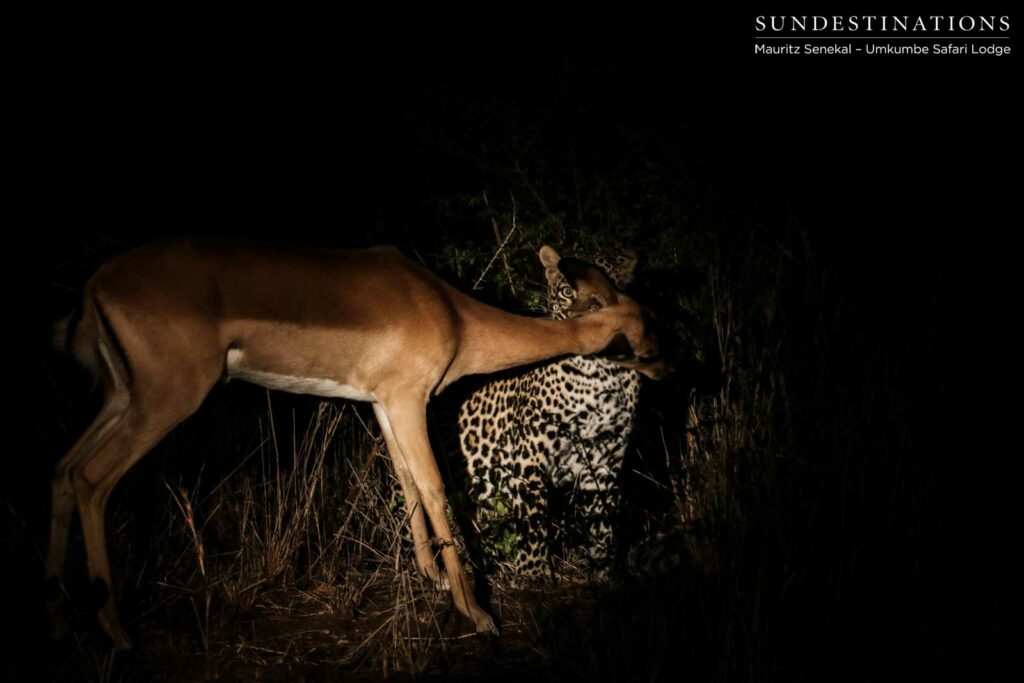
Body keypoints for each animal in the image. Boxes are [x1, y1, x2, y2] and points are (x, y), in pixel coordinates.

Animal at [46, 239, 668, 649]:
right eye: (641, 330)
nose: (667, 365)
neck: (451, 311)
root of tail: (96, 286)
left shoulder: (383, 404)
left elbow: (409, 486)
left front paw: (435, 581)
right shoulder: (409, 399)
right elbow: (436, 489)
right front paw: (477, 613)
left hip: (124, 396)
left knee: (63, 469)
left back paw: (57, 605)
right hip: (166, 397)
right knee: (92, 479)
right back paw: (116, 631)